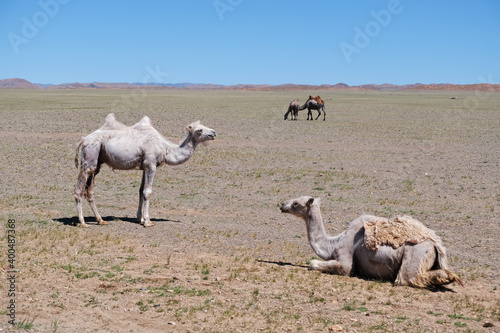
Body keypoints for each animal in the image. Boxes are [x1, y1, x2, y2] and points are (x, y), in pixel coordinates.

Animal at [73, 113, 215, 227]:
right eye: (199, 130)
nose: (213, 132)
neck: (166, 149)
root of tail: (83, 139)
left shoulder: (144, 167)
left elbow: (141, 190)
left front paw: (139, 219)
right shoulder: (151, 164)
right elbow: (147, 192)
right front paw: (147, 221)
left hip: (97, 162)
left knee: (89, 191)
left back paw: (100, 220)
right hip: (90, 157)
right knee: (79, 190)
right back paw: (83, 222)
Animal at [280, 196, 462, 286]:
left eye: (295, 203)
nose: (282, 205)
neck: (334, 242)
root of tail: (436, 245)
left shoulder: (345, 257)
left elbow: (314, 263)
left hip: (416, 253)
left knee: (406, 278)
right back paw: (450, 277)